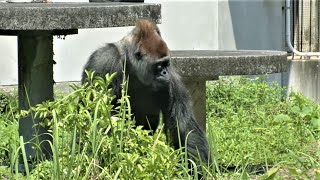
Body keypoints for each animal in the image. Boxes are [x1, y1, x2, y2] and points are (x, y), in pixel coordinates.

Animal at [80, 19, 210, 169]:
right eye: (159, 65)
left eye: (166, 63)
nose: (165, 73)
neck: (129, 62)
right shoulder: (103, 61)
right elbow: (94, 118)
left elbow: (183, 124)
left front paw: (199, 168)